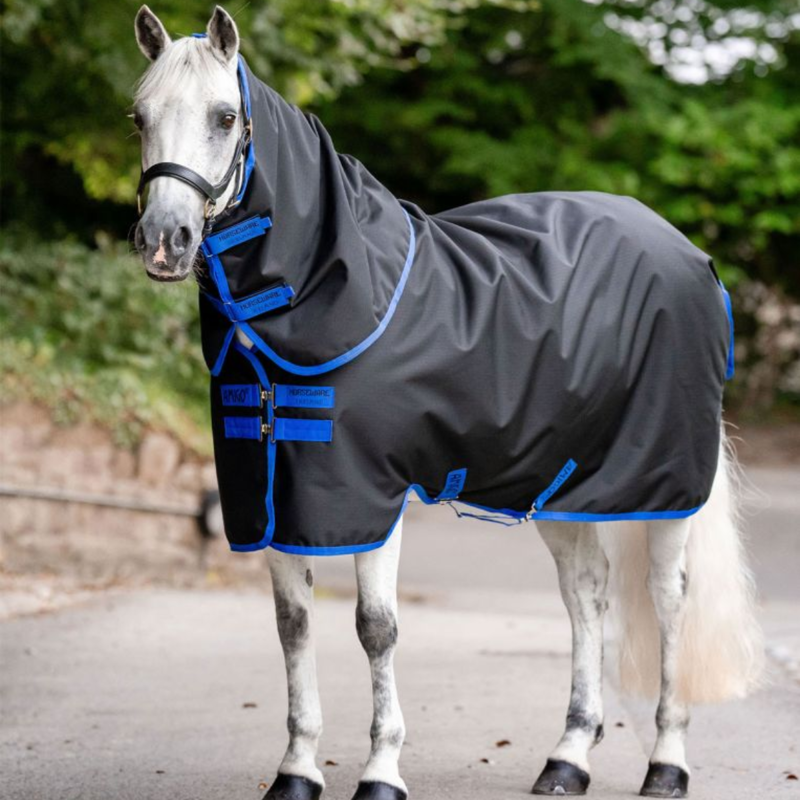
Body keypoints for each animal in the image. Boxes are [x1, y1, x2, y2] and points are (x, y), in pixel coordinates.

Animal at [131, 7, 764, 799]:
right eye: (138, 116)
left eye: (223, 116)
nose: (164, 241)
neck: (330, 290)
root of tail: (692, 257)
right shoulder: (274, 494)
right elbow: (292, 626)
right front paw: (297, 771)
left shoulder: (369, 495)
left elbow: (376, 627)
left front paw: (381, 771)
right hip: (560, 484)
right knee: (586, 595)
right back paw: (567, 758)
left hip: (666, 483)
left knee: (670, 598)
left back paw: (667, 764)